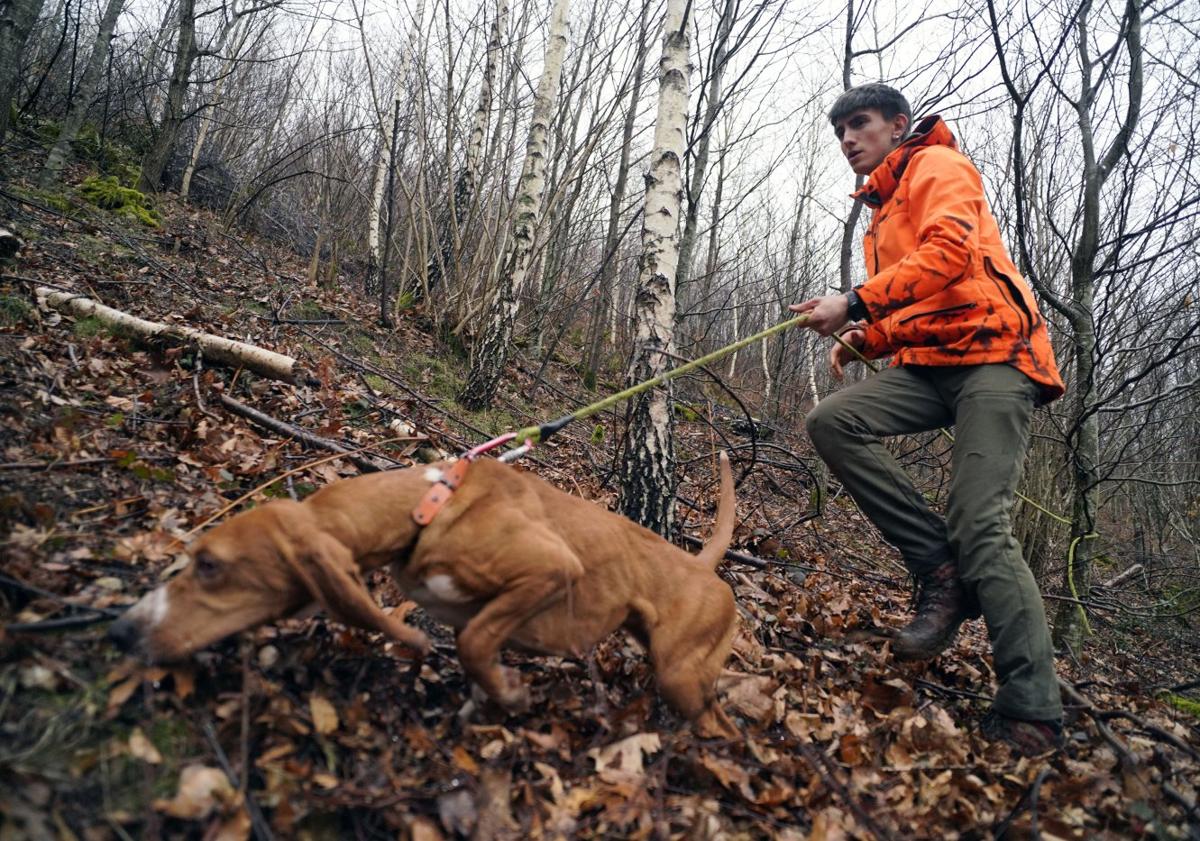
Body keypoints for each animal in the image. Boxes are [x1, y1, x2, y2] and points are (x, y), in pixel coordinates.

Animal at [108, 453, 734, 734]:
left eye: (211, 566)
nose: (122, 630)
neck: (425, 509)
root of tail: (703, 567)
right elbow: (475, 650)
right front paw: (488, 705)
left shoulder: (551, 568)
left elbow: (476, 646)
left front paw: (509, 696)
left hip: (681, 676)